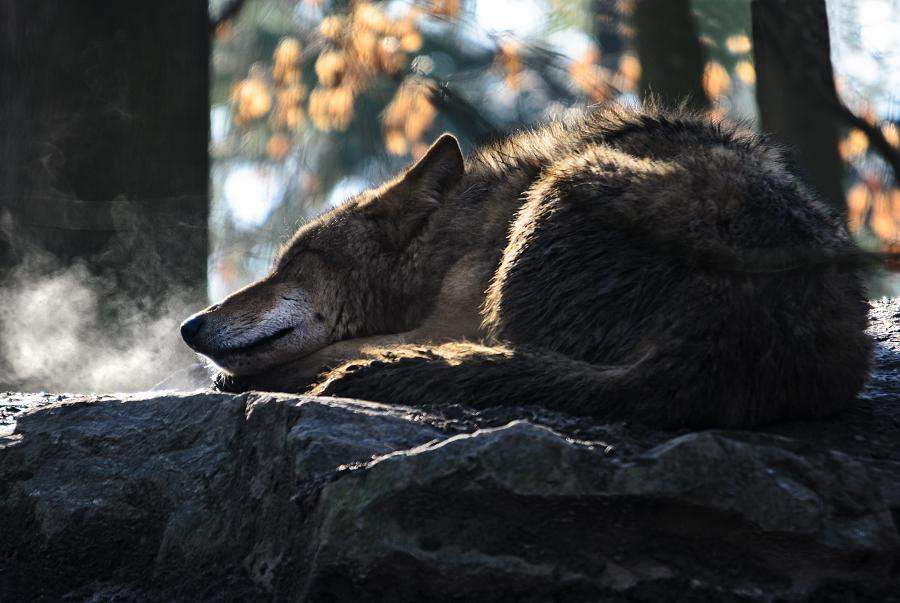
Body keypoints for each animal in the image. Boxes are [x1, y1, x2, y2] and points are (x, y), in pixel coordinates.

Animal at [183, 102, 872, 430]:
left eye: (296, 262)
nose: (189, 327)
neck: (458, 238)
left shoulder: (451, 320)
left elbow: (338, 350)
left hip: (568, 182)